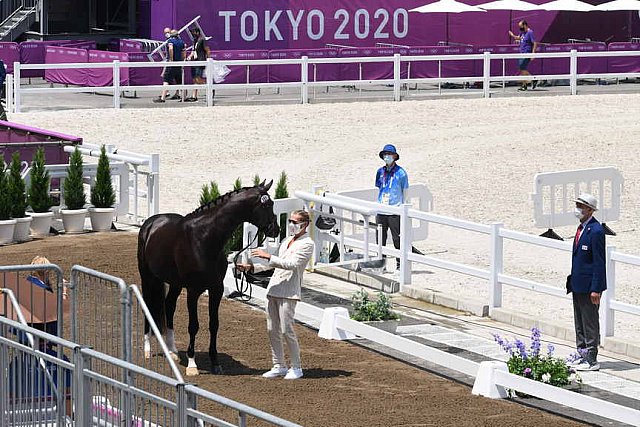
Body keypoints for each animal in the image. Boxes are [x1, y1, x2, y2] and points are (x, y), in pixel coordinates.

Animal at [139, 181, 278, 374]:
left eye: (272, 203)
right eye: (266, 204)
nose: (276, 230)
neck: (204, 238)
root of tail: (151, 223)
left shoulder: (216, 289)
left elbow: (214, 324)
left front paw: (215, 363)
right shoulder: (193, 291)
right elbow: (193, 325)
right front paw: (192, 364)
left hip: (175, 283)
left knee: (169, 306)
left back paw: (172, 351)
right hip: (148, 277)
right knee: (148, 305)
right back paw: (147, 350)